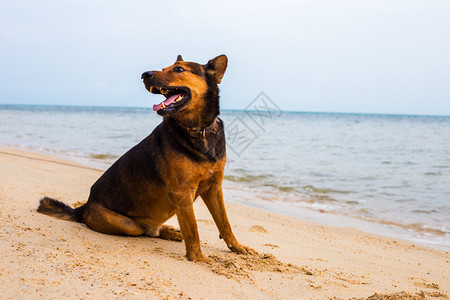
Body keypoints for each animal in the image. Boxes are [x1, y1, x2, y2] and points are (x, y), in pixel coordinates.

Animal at [37, 55, 255, 262]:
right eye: (165, 68)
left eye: (179, 69)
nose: (145, 75)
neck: (198, 130)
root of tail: (83, 209)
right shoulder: (183, 192)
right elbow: (193, 229)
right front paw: (198, 258)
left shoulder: (214, 188)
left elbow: (224, 222)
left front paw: (237, 247)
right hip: (127, 225)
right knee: (145, 231)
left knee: (153, 230)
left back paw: (169, 231)